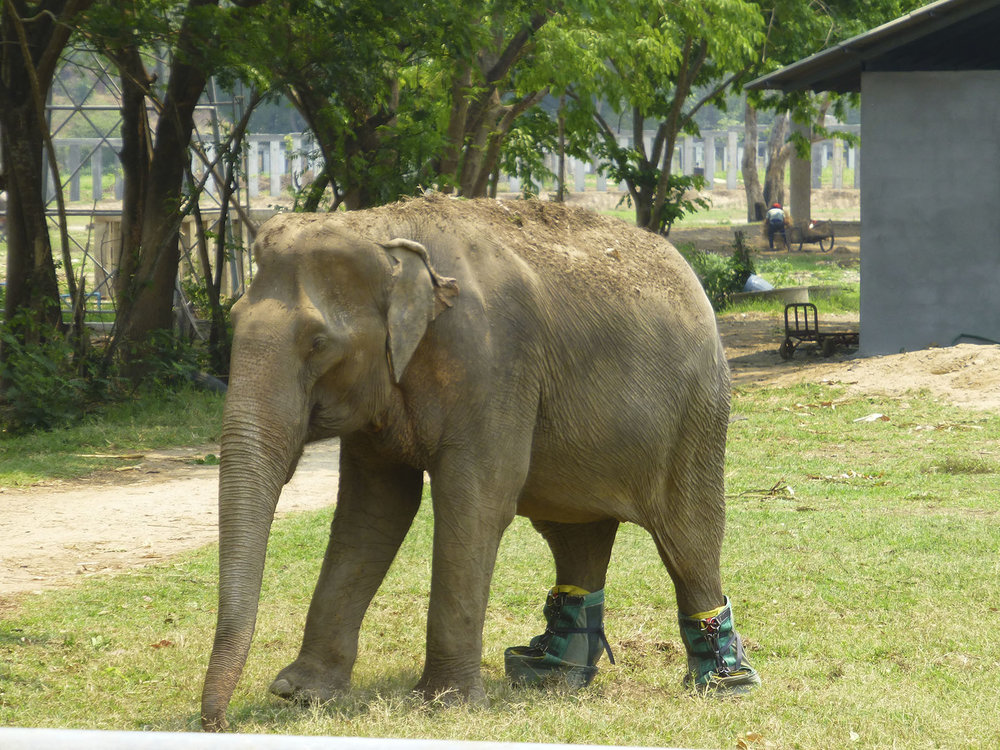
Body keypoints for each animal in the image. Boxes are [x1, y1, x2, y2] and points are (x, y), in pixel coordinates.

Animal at [201, 194, 756, 736]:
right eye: (234, 320)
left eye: (317, 343)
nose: (219, 722)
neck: (381, 228)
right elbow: (373, 510)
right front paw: (301, 694)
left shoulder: (495, 363)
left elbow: (476, 502)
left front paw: (444, 706)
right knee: (574, 533)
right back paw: (551, 673)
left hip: (698, 415)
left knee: (688, 538)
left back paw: (724, 681)